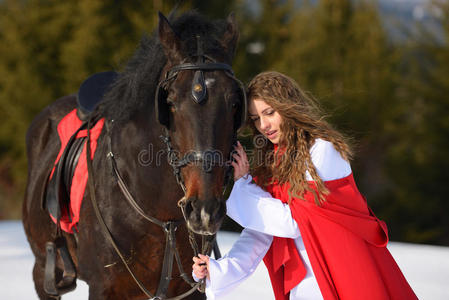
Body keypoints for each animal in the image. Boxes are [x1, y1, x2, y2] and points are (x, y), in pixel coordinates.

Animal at [21, 10, 245, 298]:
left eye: (235, 103)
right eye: (170, 102)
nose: (204, 211)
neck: (164, 217)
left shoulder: (191, 289)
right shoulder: (104, 287)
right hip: (43, 270)